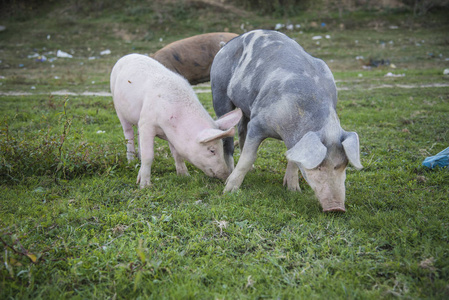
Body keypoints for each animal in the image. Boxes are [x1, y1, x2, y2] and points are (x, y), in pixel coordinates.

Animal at [110, 54, 242, 188]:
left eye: (221, 146)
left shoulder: (167, 133)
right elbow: (148, 155)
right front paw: (144, 186)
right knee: (128, 133)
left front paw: (185, 176)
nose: (225, 174)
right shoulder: (147, 122)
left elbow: (177, 154)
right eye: (212, 150)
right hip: (119, 109)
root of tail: (127, 56)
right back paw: (131, 160)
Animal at [212, 29, 362, 211]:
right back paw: (229, 172)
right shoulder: (258, 123)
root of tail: (225, 45)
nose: (336, 208)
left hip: (246, 108)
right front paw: (228, 190)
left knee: (242, 130)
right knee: (227, 137)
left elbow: (292, 157)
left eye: (343, 165)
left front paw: (293, 190)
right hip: (219, 91)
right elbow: (248, 157)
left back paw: (253, 170)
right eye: (319, 166)